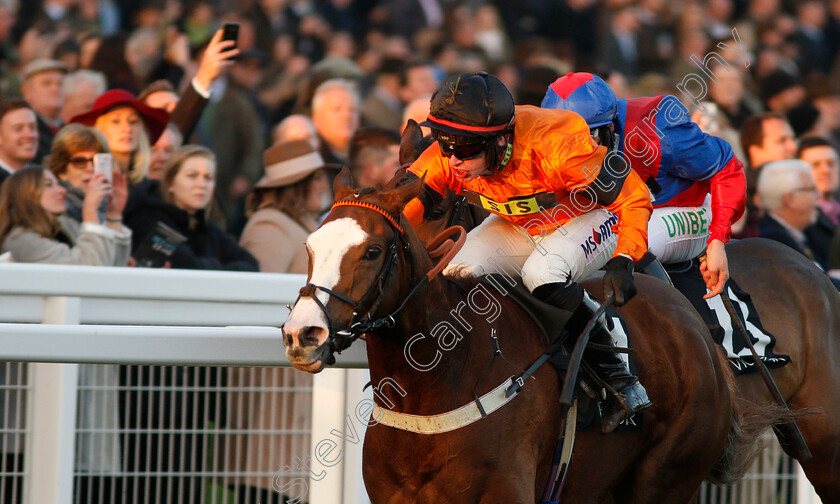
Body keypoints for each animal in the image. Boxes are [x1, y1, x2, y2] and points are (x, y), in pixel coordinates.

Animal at [282, 171, 776, 502]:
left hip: (666, 476)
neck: (436, 386)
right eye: (308, 246)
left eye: (371, 251)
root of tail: (698, 327)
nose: (303, 332)